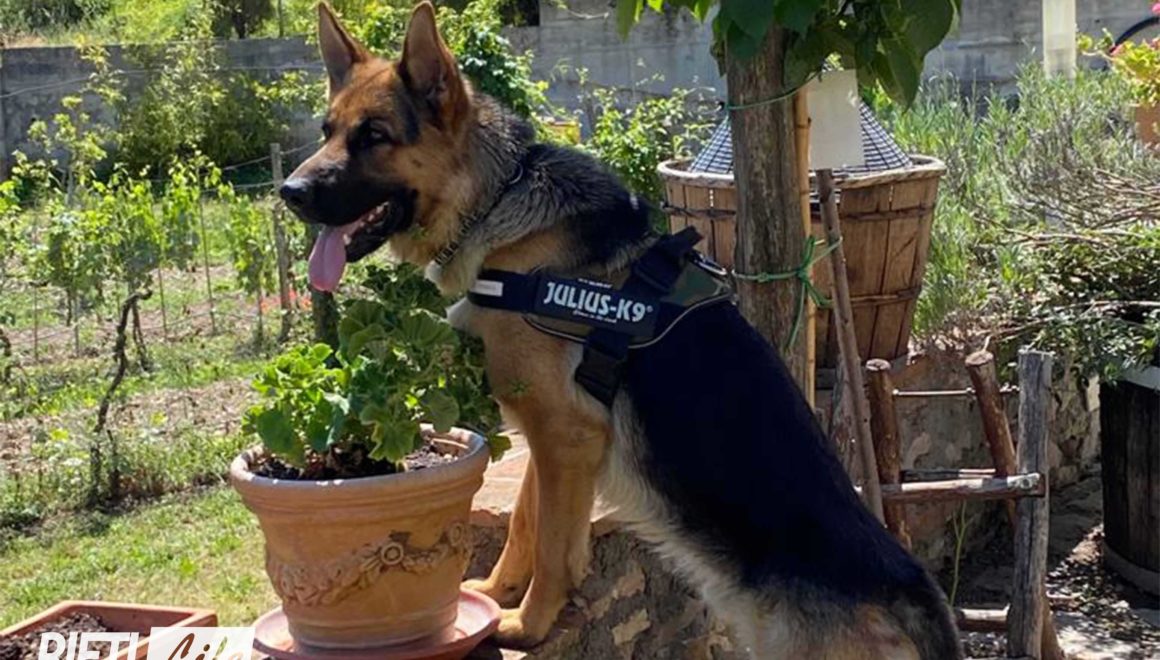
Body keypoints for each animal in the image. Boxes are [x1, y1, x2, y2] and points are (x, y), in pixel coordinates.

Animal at [280, 3, 963, 658]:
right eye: (327, 131)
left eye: (374, 136)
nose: (289, 192)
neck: (496, 201)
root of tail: (913, 594)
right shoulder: (548, 433)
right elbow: (527, 523)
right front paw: (495, 595)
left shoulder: (567, 433)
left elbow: (553, 546)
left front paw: (526, 627)